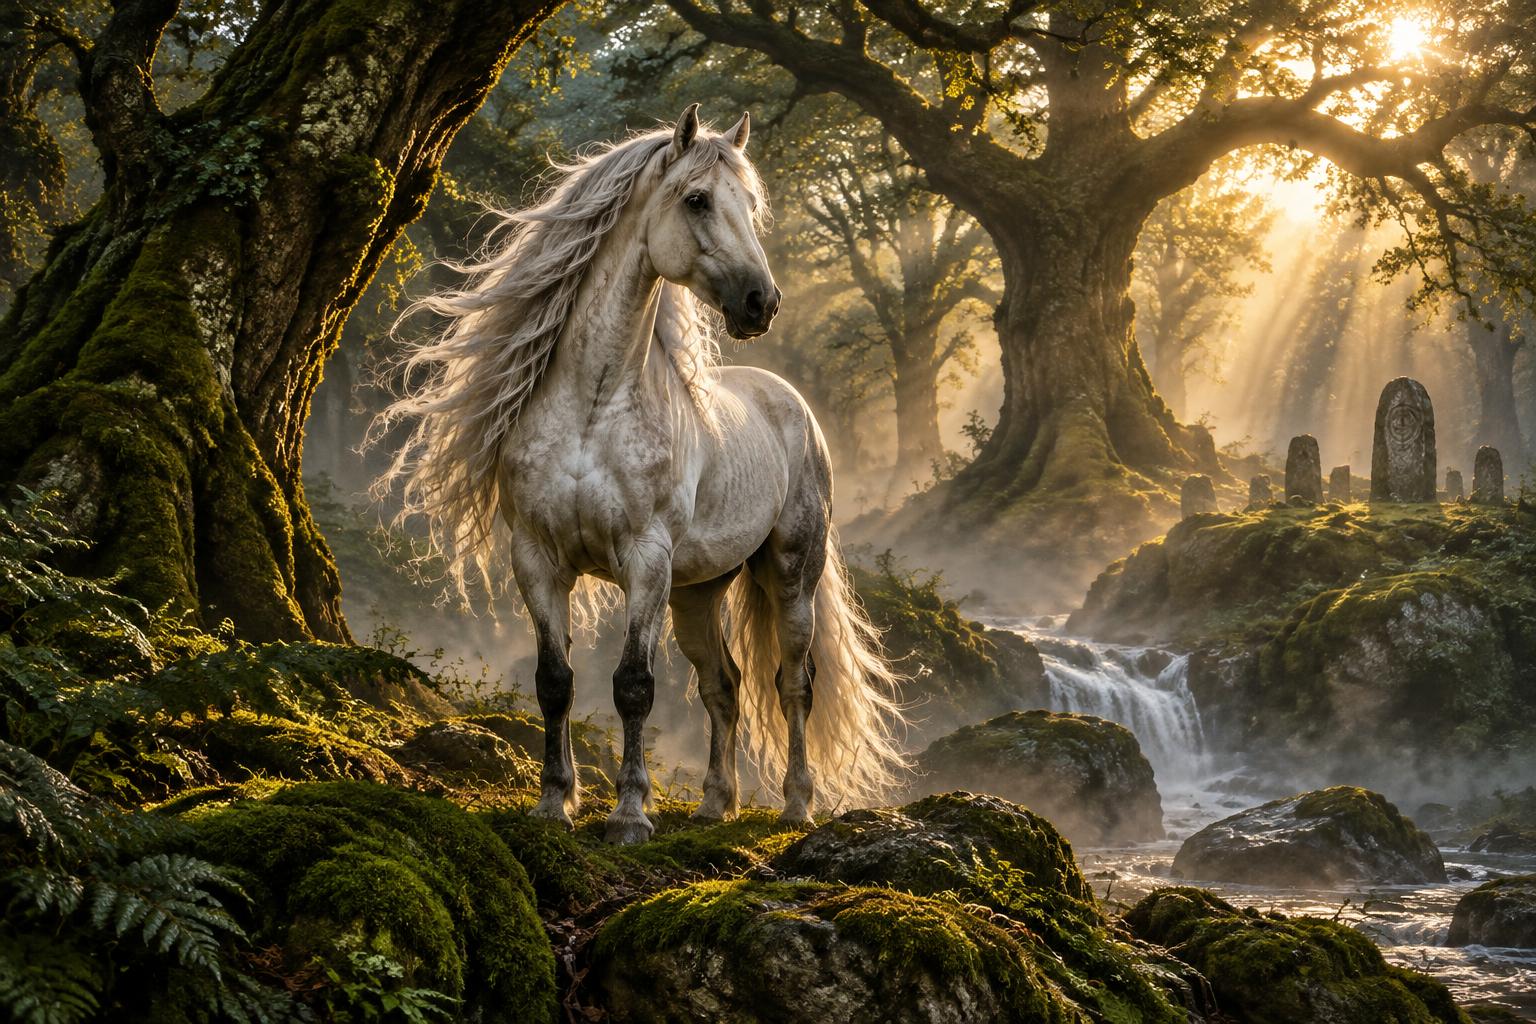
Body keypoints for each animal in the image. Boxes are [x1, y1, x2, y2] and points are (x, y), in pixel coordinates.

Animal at [378, 105, 908, 843]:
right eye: (698, 200)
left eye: (750, 204)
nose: (761, 303)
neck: (593, 409)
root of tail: (789, 400)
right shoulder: (536, 559)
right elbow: (555, 681)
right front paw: (554, 803)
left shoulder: (645, 559)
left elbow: (633, 685)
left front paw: (630, 814)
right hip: (698, 591)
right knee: (724, 684)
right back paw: (716, 803)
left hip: (788, 573)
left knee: (793, 682)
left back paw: (797, 805)